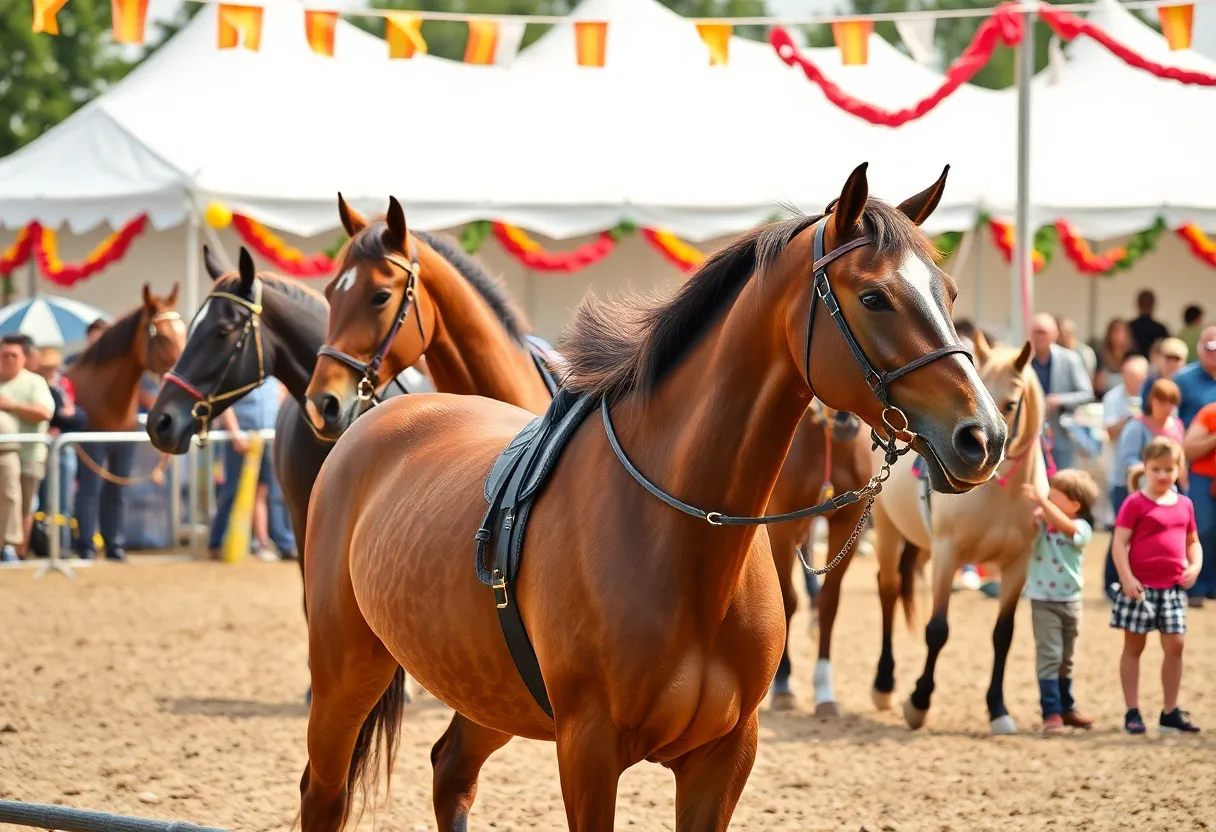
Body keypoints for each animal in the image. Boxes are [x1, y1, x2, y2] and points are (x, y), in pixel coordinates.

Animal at [65, 284, 185, 559]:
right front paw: (86, 549)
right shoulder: (91, 450)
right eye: (161, 336)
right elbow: (89, 494)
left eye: (184, 330)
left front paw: (115, 549)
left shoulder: (122, 449)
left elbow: (115, 493)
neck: (106, 396)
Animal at [769, 405, 875, 714]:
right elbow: (786, 600)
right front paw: (783, 685)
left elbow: (829, 602)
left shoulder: (848, 521)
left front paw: (825, 692)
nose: (846, 423)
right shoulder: (780, 524)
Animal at [866, 330, 1043, 734]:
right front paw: (918, 702)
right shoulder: (947, 555)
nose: (986, 450)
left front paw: (998, 708)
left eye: (1012, 402)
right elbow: (937, 630)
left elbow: (1003, 635)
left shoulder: (1017, 566)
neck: (999, 496)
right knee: (888, 591)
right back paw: (884, 684)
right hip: (887, 530)